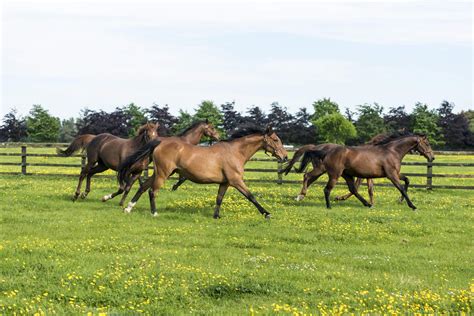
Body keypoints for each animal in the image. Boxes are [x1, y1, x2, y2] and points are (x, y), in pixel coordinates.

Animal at [117, 124, 288, 218]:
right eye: (275, 139)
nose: (285, 156)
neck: (235, 151)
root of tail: (159, 142)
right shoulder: (236, 181)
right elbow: (251, 196)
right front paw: (267, 213)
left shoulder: (225, 183)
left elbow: (219, 199)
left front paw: (216, 216)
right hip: (163, 173)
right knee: (152, 191)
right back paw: (154, 213)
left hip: (160, 172)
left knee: (143, 186)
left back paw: (128, 208)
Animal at [282, 133, 434, 210]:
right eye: (427, 144)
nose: (432, 157)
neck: (392, 151)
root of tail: (324, 150)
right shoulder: (391, 175)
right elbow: (401, 187)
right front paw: (412, 206)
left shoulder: (394, 174)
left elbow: (407, 180)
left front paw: (401, 200)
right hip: (333, 174)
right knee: (322, 186)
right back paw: (326, 205)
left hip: (345, 175)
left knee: (352, 189)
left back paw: (367, 204)